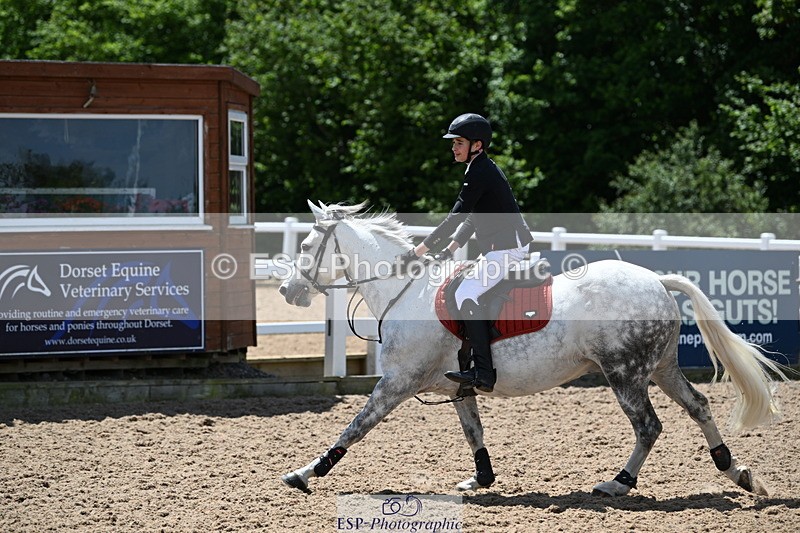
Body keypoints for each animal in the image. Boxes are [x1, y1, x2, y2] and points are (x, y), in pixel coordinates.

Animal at [279, 200, 788, 497]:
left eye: (306, 245)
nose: (287, 291)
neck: (407, 289)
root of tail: (657, 281)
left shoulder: (397, 383)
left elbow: (354, 428)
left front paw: (306, 473)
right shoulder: (456, 387)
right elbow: (474, 431)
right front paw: (482, 479)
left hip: (624, 373)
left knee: (648, 426)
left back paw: (618, 483)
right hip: (660, 368)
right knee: (699, 405)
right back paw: (735, 471)